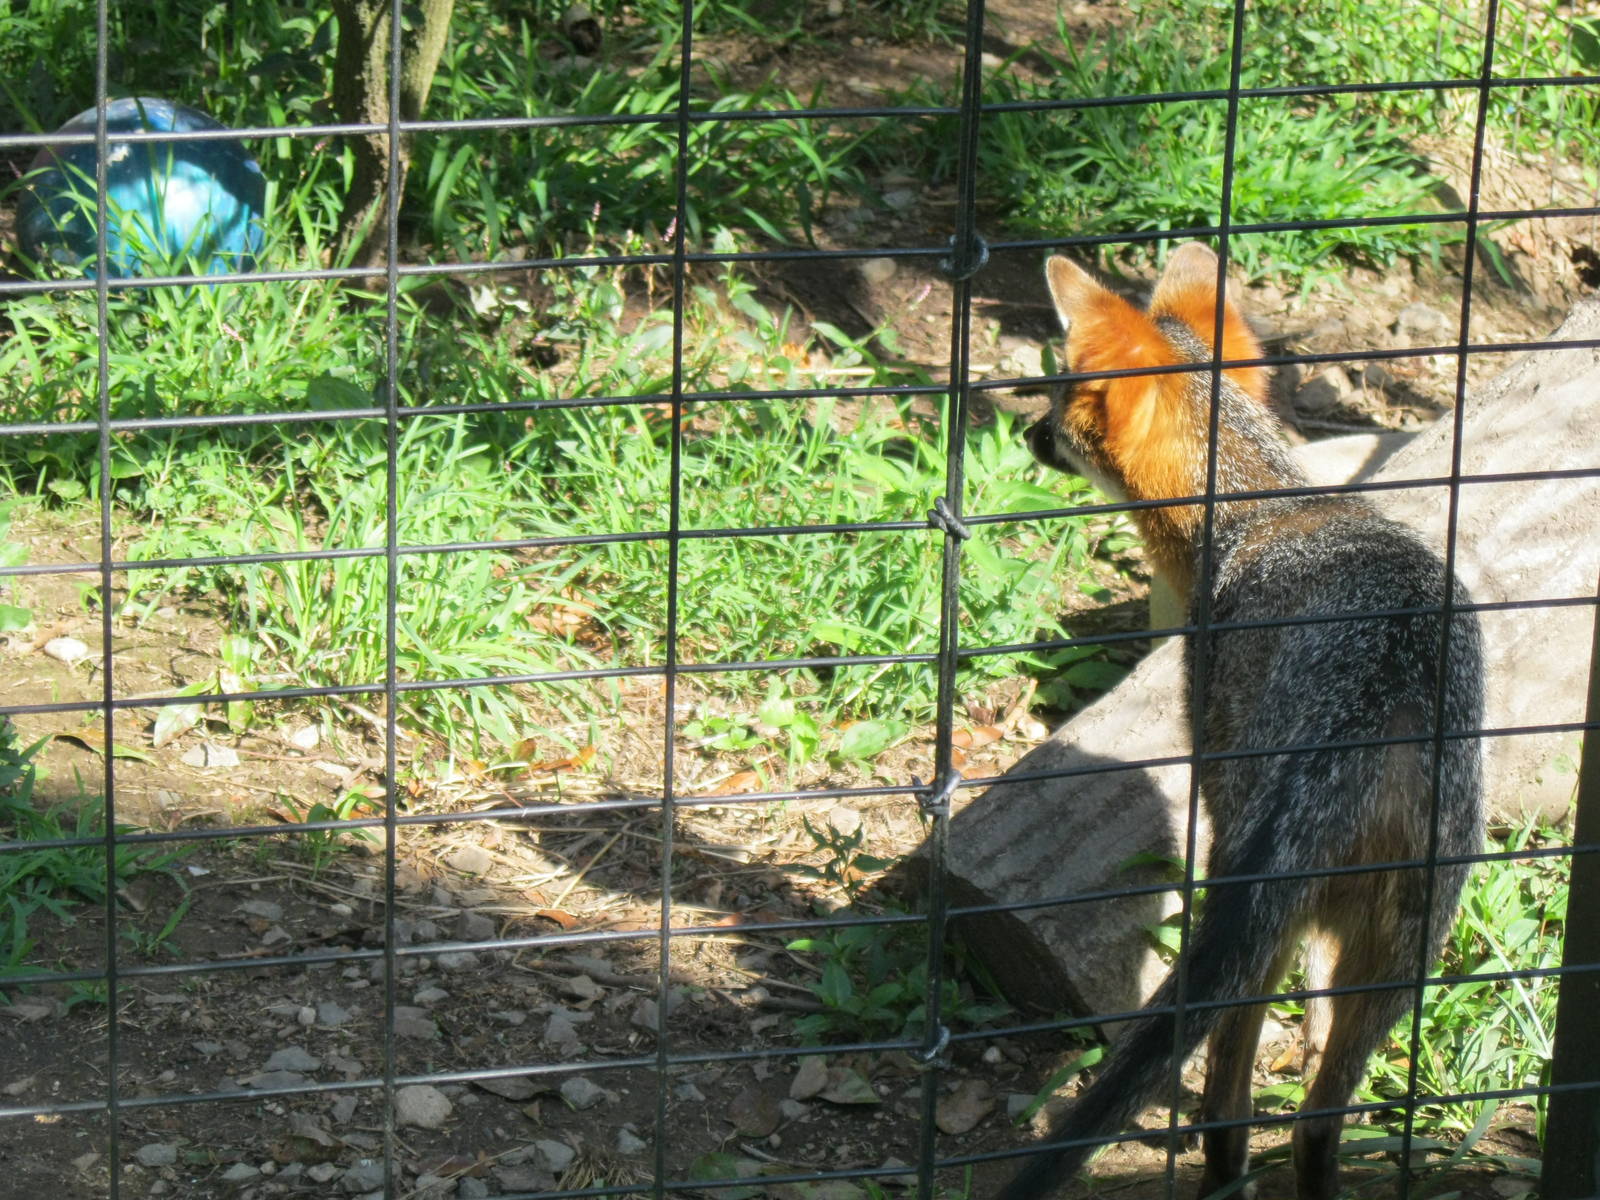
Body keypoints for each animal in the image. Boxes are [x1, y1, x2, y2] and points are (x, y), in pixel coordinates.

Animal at [1001, 244, 1484, 1200]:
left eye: (1060, 398)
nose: (1025, 433)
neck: (1264, 504)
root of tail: (1381, 702)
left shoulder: (1216, 781)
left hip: (1253, 909)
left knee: (1232, 1105)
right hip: (1400, 956)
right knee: (1316, 1122)